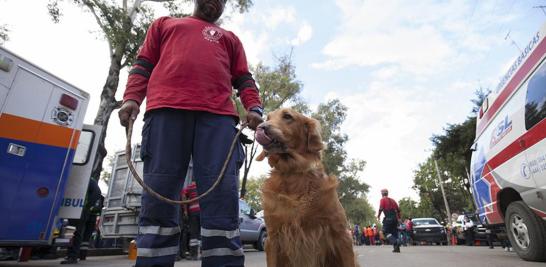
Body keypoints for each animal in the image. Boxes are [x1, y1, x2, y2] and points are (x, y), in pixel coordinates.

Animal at [256, 108, 362, 266]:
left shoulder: (341, 234)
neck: (293, 174)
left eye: (287, 116)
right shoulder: (272, 238)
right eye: (267, 118)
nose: (261, 127)